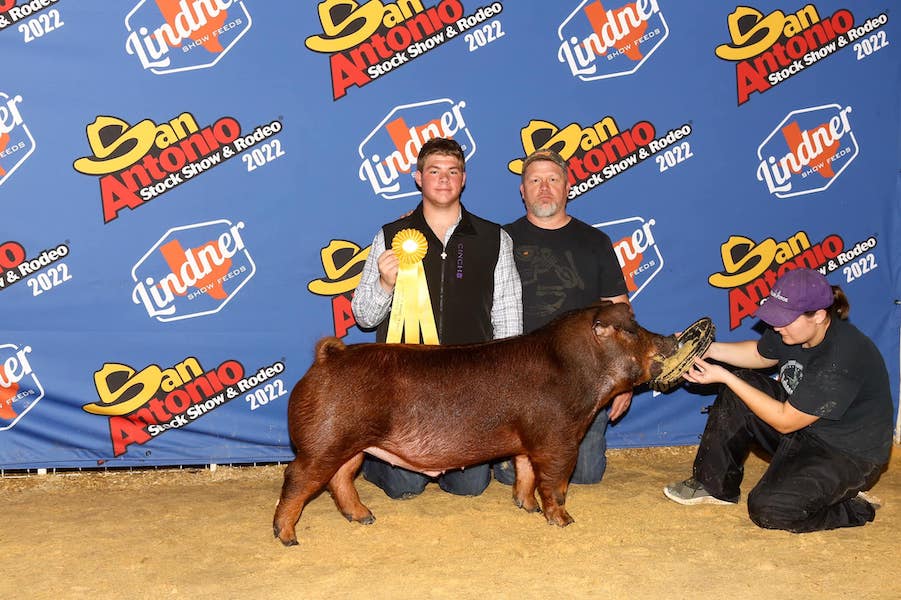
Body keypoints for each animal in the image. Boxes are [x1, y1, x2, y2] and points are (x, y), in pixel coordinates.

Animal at [273, 301, 677, 546]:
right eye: (631, 330)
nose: (671, 339)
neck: (576, 372)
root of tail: (328, 357)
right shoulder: (558, 440)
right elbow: (556, 484)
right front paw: (564, 521)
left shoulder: (529, 444)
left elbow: (524, 473)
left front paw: (526, 508)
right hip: (325, 439)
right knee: (298, 478)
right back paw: (288, 537)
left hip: (352, 443)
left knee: (340, 478)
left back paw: (365, 518)